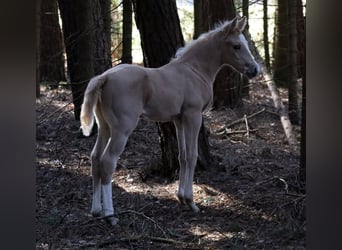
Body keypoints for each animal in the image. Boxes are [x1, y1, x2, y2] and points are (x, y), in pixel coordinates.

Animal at [80, 16, 260, 226]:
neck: (195, 70)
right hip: (122, 129)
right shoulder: (193, 116)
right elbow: (192, 156)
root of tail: (104, 77)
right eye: (237, 46)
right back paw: (110, 215)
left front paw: (181, 197)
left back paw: (96, 211)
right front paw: (191, 202)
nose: (255, 70)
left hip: (104, 126)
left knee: (95, 158)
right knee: (108, 161)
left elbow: (182, 156)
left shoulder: (179, 120)